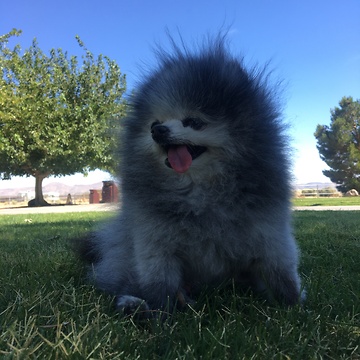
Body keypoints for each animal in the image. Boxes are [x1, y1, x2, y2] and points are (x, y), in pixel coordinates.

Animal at [77, 35, 306, 314]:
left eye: (194, 122)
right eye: (154, 124)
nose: (159, 131)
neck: (199, 192)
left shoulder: (269, 231)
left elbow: (280, 268)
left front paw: (293, 304)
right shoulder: (155, 243)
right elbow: (158, 283)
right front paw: (159, 312)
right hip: (124, 251)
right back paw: (137, 303)